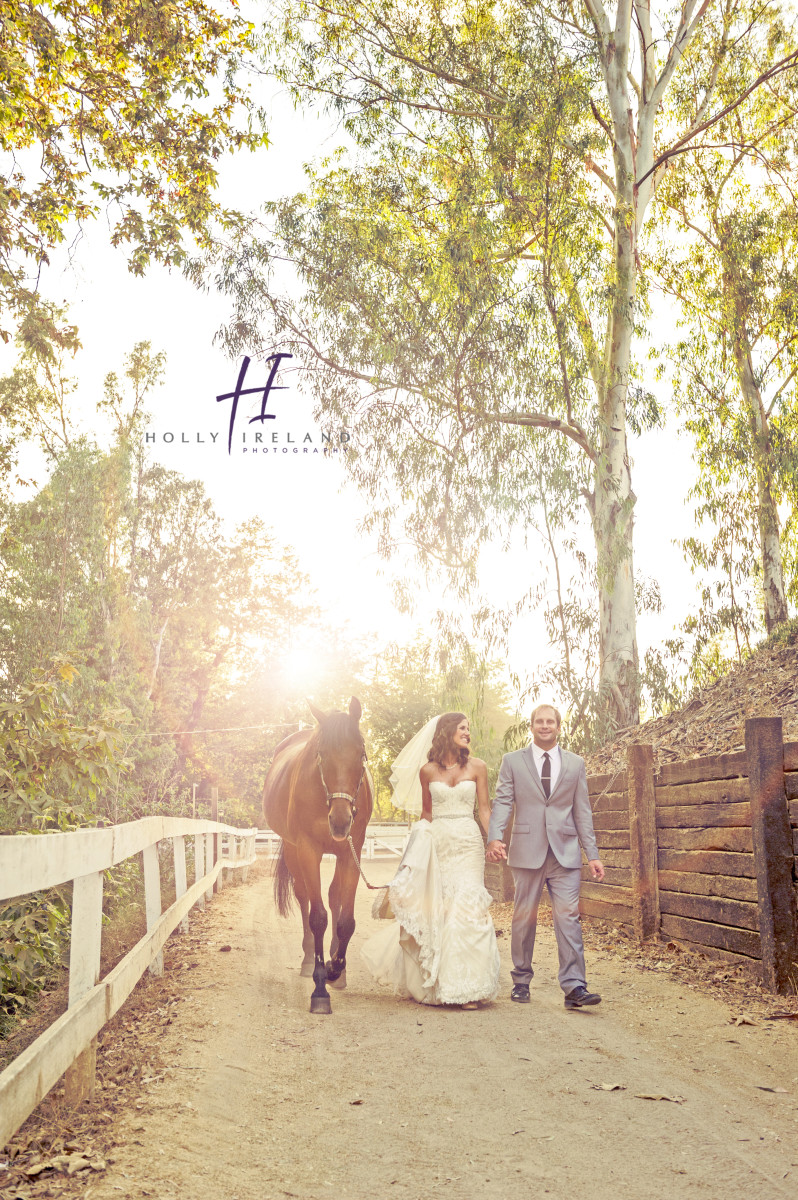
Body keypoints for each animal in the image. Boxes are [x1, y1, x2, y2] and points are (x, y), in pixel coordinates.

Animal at [261, 696, 374, 1012]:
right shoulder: (308, 850)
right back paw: (309, 957)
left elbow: (345, 919)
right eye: (321, 755)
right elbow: (318, 917)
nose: (340, 820)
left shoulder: (351, 851)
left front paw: (337, 968)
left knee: (334, 896)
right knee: (303, 897)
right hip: (293, 851)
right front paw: (320, 985)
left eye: (361, 754)